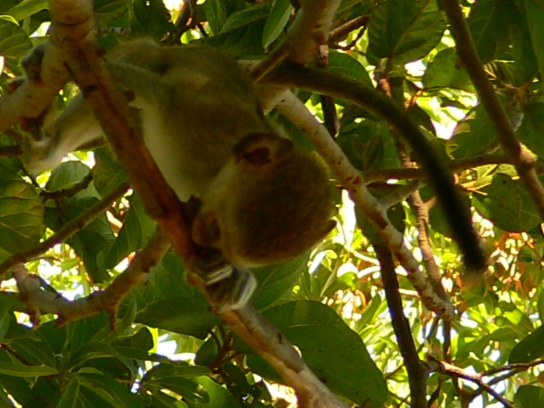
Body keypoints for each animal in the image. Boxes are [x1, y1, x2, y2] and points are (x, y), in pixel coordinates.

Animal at [20, 39, 336, 304]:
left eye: (225, 246)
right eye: (215, 227)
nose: (204, 242)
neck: (215, 170)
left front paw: (231, 273)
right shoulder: (191, 114)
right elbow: (125, 82)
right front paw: (61, 59)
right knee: (139, 63)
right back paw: (43, 148)